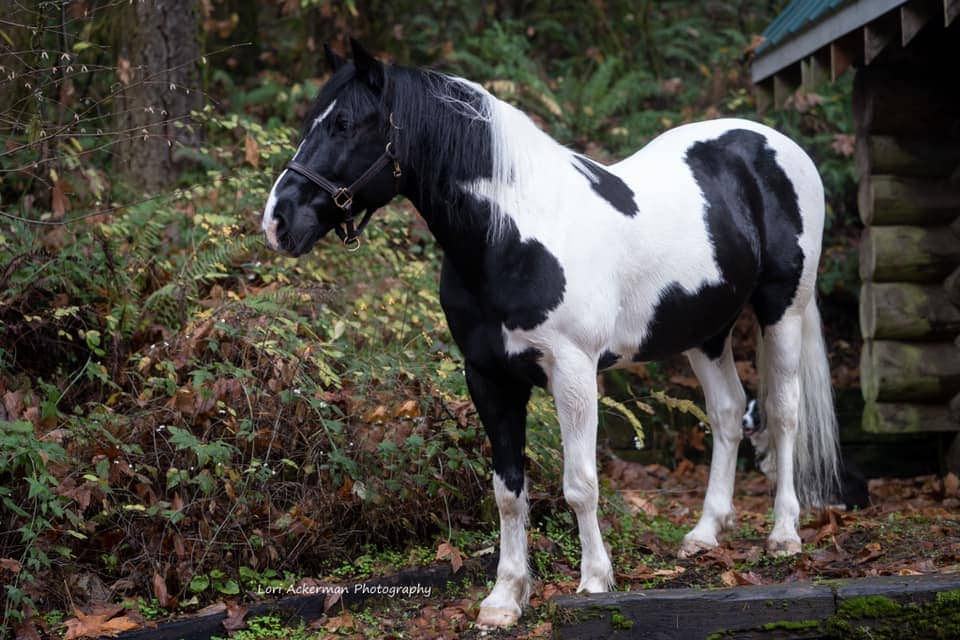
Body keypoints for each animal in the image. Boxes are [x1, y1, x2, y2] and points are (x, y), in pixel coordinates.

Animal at [262, 42, 840, 628]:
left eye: (345, 123)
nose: (277, 221)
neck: (512, 238)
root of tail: (775, 144)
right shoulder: (489, 378)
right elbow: (508, 493)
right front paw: (504, 598)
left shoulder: (574, 373)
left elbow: (580, 484)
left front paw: (595, 580)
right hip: (704, 329)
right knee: (727, 411)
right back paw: (704, 533)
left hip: (782, 310)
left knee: (783, 415)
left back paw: (784, 534)